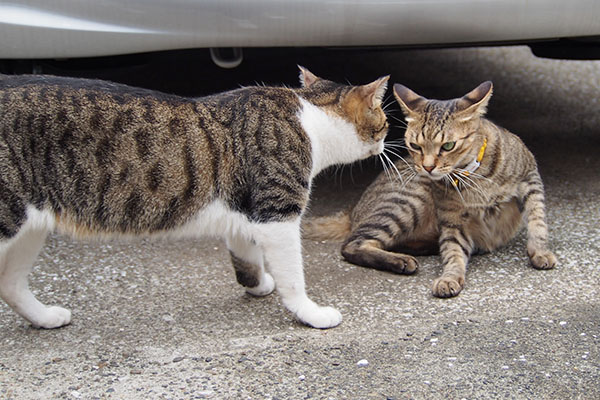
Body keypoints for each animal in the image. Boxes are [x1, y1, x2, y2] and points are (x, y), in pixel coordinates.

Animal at [0, 66, 390, 328]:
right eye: (385, 121)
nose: (388, 142)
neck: (311, 118)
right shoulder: (277, 213)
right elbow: (292, 274)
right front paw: (310, 313)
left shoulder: (243, 211)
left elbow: (245, 255)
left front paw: (258, 284)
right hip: (9, 218)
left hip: (31, 227)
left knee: (11, 283)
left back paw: (45, 317)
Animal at [304, 80, 556, 296]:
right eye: (415, 146)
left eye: (448, 146)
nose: (427, 167)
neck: (475, 176)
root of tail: (353, 210)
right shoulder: (453, 220)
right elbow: (453, 251)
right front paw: (450, 277)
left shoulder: (531, 177)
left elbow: (538, 220)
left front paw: (540, 251)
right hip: (409, 201)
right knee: (352, 244)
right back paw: (400, 260)